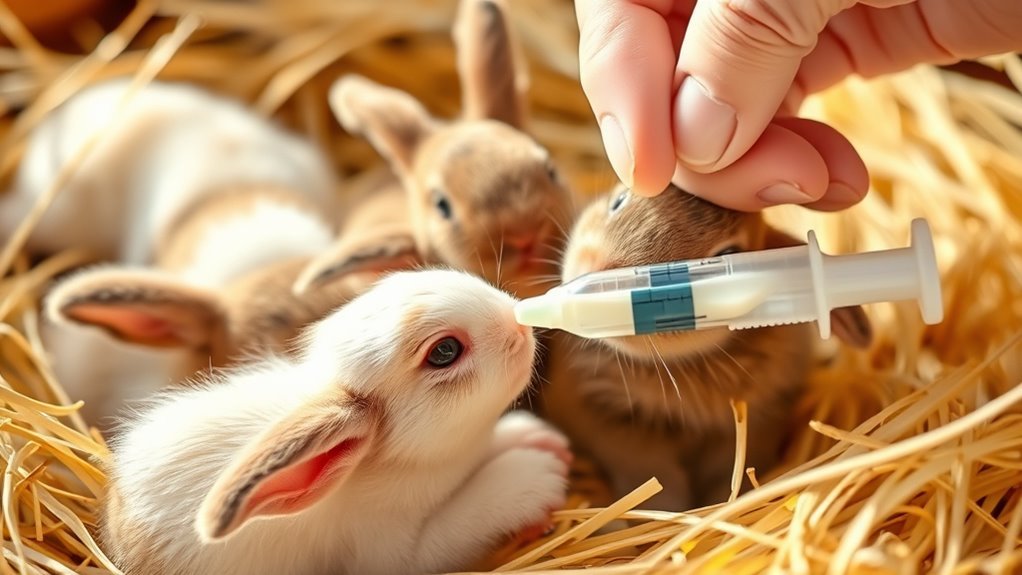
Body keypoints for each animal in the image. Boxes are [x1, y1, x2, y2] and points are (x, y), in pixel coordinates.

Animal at [101, 268, 571, 575]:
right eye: (444, 352)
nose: (518, 321)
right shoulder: (392, 552)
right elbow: (464, 520)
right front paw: (536, 474)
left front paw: (538, 439)